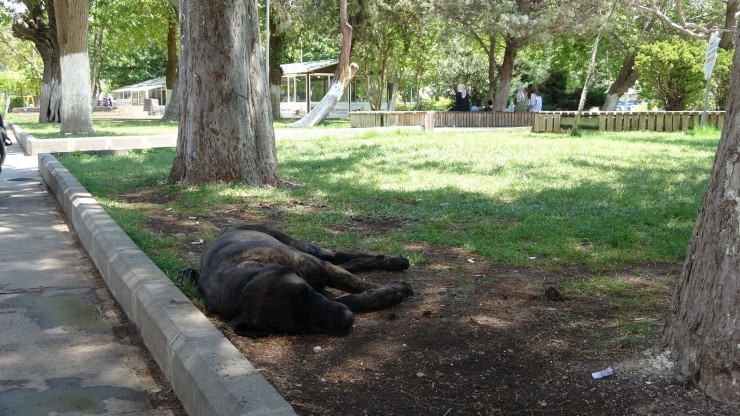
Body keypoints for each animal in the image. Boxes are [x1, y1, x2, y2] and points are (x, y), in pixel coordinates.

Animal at [178, 226, 410, 336]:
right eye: (299, 327)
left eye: (306, 291)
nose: (347, 320)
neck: (245, 282)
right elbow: (350, 299)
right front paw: (388, 294)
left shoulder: (321, 271)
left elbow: (358, 285)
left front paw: (389, 289)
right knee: (347, 264)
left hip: (302, 247)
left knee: (337, 256)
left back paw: (394, 261)